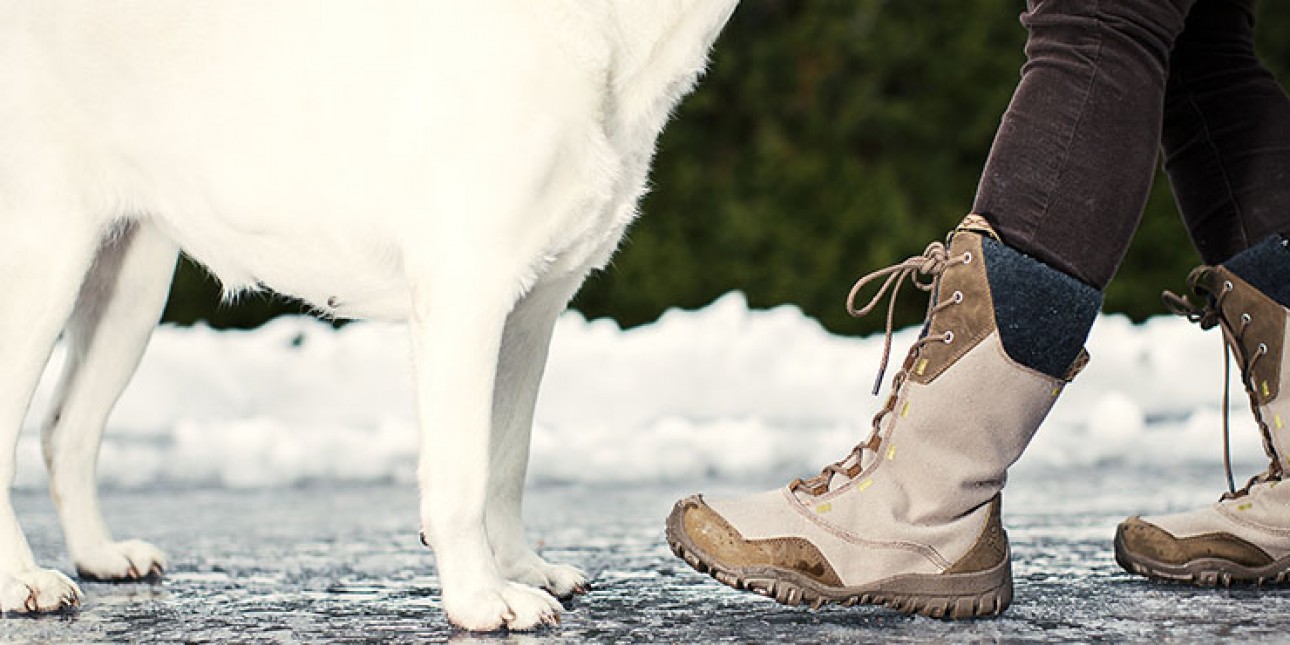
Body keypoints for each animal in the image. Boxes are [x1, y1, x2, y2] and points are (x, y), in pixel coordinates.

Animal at [0, 1, 743, 629]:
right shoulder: (467, 293)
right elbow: (463, 476)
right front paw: (480, 598)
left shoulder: (531, 311)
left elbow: (506, 460)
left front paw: (519, 568)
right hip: (43, 263)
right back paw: (22, 582)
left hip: (130, 283)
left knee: (67, 427)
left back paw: (100, 554)